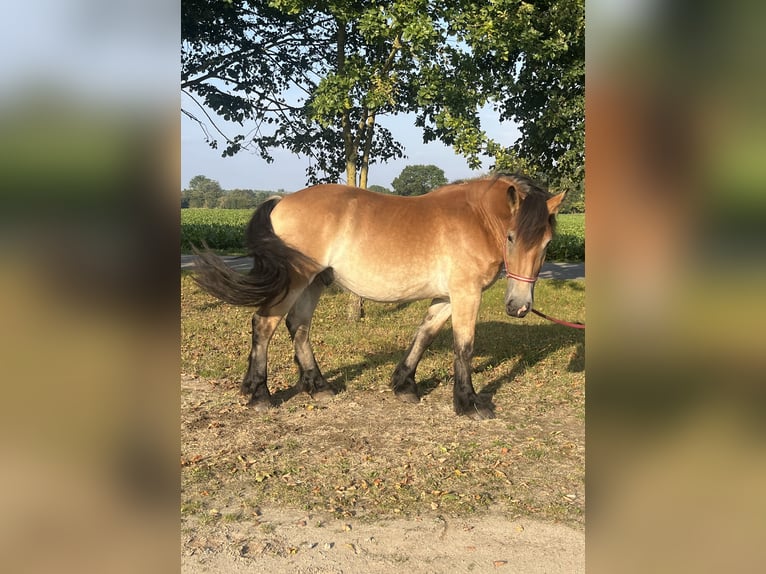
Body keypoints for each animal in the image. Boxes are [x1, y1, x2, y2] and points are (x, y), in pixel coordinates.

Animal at [194, 173, 564, 420]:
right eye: (511, 237)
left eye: (547, 243)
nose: (519, 307)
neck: (476, 220)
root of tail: (280, 201)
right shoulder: (465, 294)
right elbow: (464, 347)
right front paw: (468, 403)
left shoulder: (447, 297)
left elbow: (425, 335)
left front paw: (405, 385)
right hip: (297, 279)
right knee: (264, 324)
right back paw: (259, 394)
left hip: (314, 282)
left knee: (298, 327)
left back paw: (319, 386)